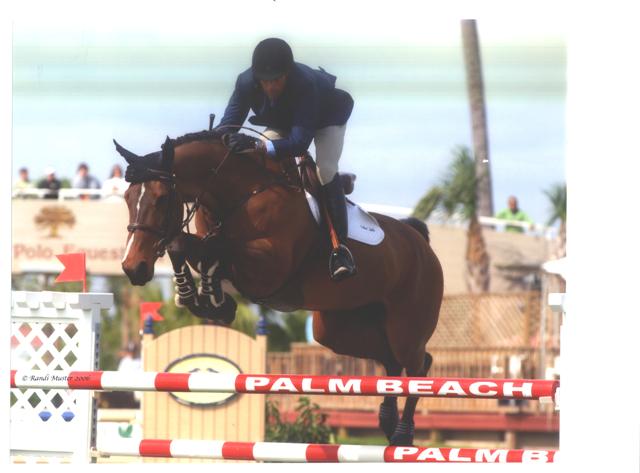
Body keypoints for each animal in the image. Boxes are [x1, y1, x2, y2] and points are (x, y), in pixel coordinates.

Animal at [115, 129, 442, 446]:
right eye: (128, 198)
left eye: (160, 198)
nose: (133, 267)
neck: (240, 194)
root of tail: (420, 241)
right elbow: (186, 246)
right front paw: (204, 299)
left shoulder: (269, 267)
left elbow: (210, 247)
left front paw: (212, 300)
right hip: (338, 329)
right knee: (390, 360)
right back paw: (387, 420)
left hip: (405, 326)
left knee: (418, 365)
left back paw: (403, 434)